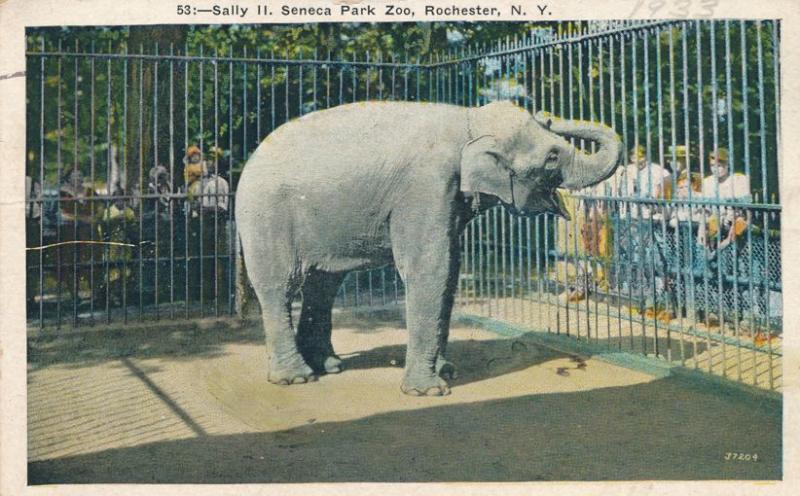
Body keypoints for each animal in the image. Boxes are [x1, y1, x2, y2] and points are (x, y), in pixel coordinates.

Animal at [234, 100, 620, 396]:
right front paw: (429, 391)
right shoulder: (427, 184)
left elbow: (450, 270)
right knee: (280, 287)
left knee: (324, 284)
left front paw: (446, 371)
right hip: (265, 215)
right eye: (553, 156)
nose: (546, 112)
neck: (469, 119)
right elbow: (431, 268)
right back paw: (297, 378)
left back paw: (329, 366)